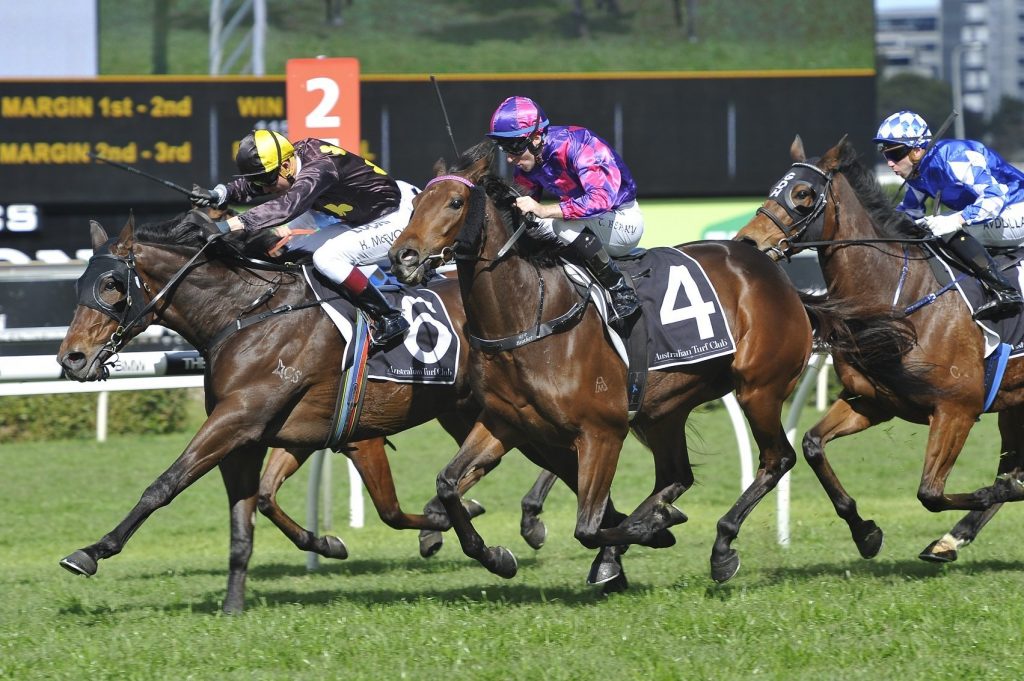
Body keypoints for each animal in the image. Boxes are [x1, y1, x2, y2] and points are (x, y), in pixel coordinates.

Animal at [55, 210, 558, 613]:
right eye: (79, 283)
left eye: (112, 285)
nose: (71, 358)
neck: (245, 315)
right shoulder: (271, 435)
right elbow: (253, 511)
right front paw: (245, 597)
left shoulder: (240, 421)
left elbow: (165, 485)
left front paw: (92, 552)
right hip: (464, 411)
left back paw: (530, 523)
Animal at [388, 141, 915, 585]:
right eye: (414, 205)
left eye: (454, 203)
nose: (402, 256)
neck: (530, 317)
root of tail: (777, 276)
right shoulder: (505, 422)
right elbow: (449, 483)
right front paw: (494, 555)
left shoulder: (602, 431)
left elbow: (588, 525)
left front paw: (650, 531)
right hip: (666, 408)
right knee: (677, 475)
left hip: (757, 387)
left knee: (776, 458)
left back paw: (726, 544)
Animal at [734, 135, 1024, 563]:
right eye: (774, 188)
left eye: (803, 193)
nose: (747, 242)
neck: (898, 293)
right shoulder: (873, 400)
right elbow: (812, 445)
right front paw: (865, 533)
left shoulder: (957, 408)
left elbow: (931, 492)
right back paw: (948, 540)